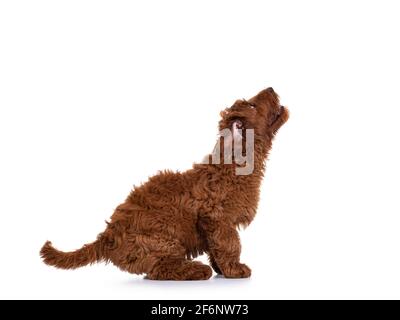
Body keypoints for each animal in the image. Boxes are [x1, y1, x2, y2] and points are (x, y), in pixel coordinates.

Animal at [40, 87, 290, 280]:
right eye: (253, 105)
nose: (271, 87)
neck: (235, 163)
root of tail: (108, 235)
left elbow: (216, 247)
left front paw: (222, 268)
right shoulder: (217, 217)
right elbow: (229, 244)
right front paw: (234, 269)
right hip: (161, 240)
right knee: (157, 269)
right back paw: (196, 270)